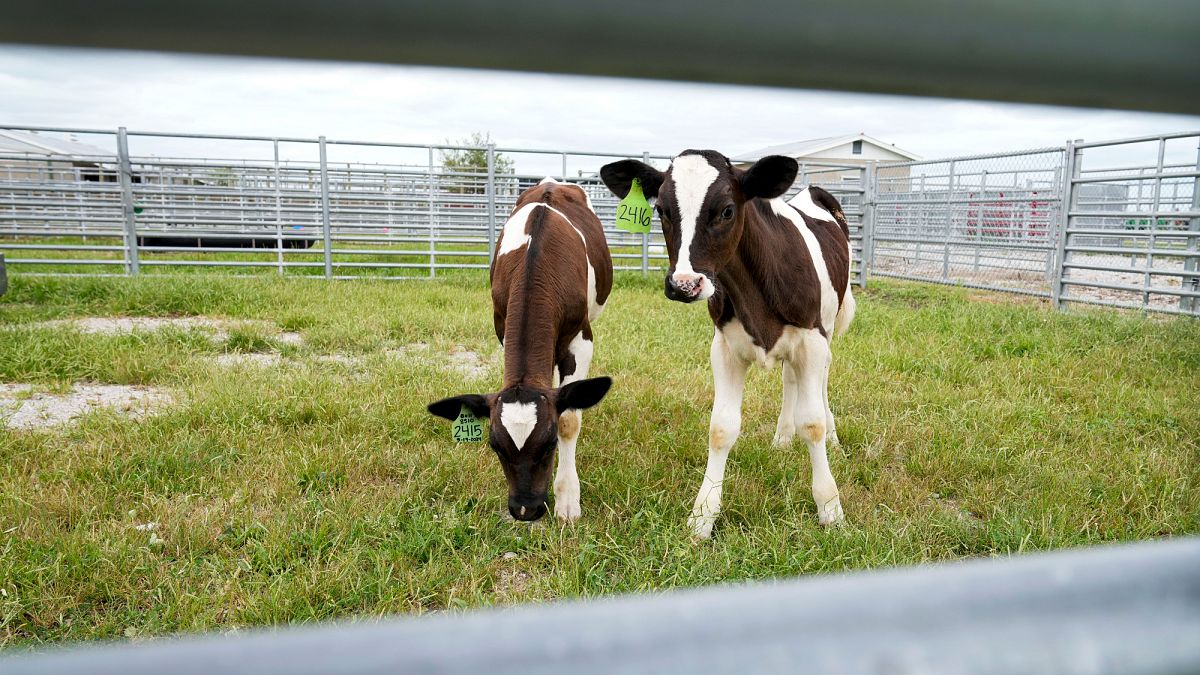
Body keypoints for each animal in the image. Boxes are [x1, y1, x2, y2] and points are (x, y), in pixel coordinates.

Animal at [427, 178, 614, 523]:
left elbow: (569, 418)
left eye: (550, 443)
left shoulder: (582, 337)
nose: (525, 508)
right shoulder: (501, 325)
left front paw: (568, 499)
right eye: (494, 445)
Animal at [600, 151, 855, 539]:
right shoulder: (724, 347)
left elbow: (812, 424)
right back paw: (782, 438)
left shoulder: (811, 340)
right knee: (789, 380)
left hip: (828, 327)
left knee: (822, 381)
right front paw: (702, 517)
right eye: (661, 210)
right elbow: (721, 428)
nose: (684, 284)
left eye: (727, 211)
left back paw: (834, 439)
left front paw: (830, 508)